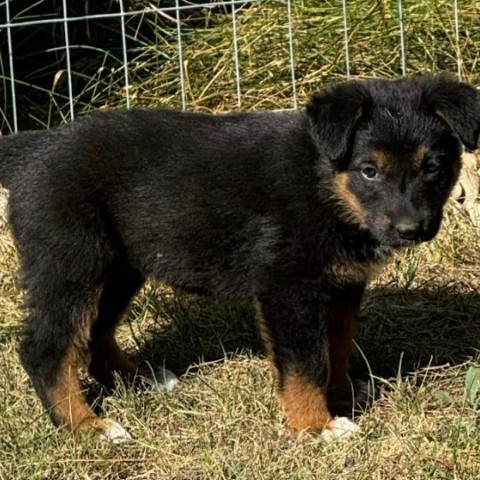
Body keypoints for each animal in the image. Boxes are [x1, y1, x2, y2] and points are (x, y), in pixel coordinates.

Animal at [0, 74, 478, 442]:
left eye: (433, 167)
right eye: (369, 171)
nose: (411, 230)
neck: (324, 183)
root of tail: (32, 148)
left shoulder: (342, 285)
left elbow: (338, 346)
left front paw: (342, 396)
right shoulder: (287, 288)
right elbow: (306, 363)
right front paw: (316, 426)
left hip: (120, 264)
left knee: (95, 331)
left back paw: (142, 381)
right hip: (71, 259)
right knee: (46, 349)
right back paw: (87, 426)